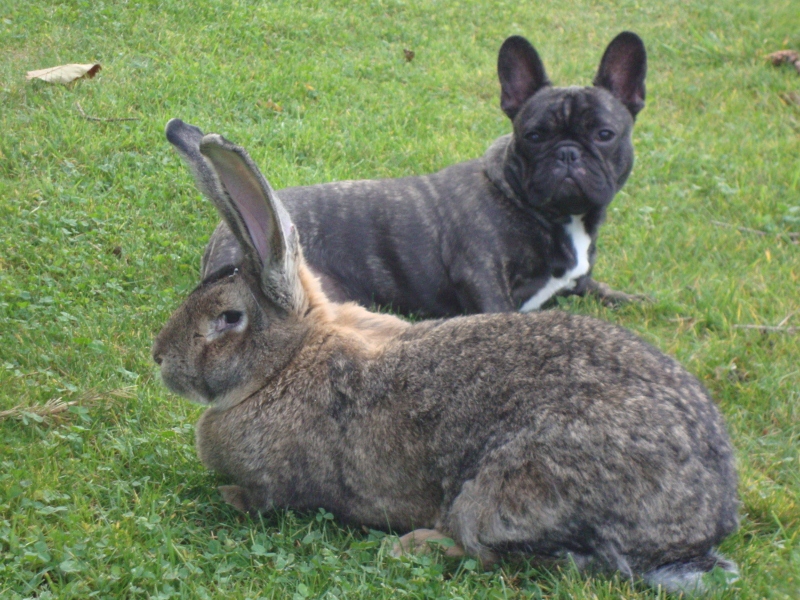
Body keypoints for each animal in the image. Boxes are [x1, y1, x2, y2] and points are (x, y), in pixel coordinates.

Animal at [153, 119, 740, 592]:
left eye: (228, 318)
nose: (160, 357)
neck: (289, 360)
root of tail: (702, 523)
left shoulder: (276, 485)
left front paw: (228, 496)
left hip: (508, 493)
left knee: (496, 553)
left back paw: (410, 544)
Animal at [184, 30, 648, 316]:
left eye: (604, 134)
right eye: (534, 136)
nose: (567, 153)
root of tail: (225, 234)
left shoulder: (576, 277)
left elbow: (595, 286)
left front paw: (632, 297)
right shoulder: (482, 276)